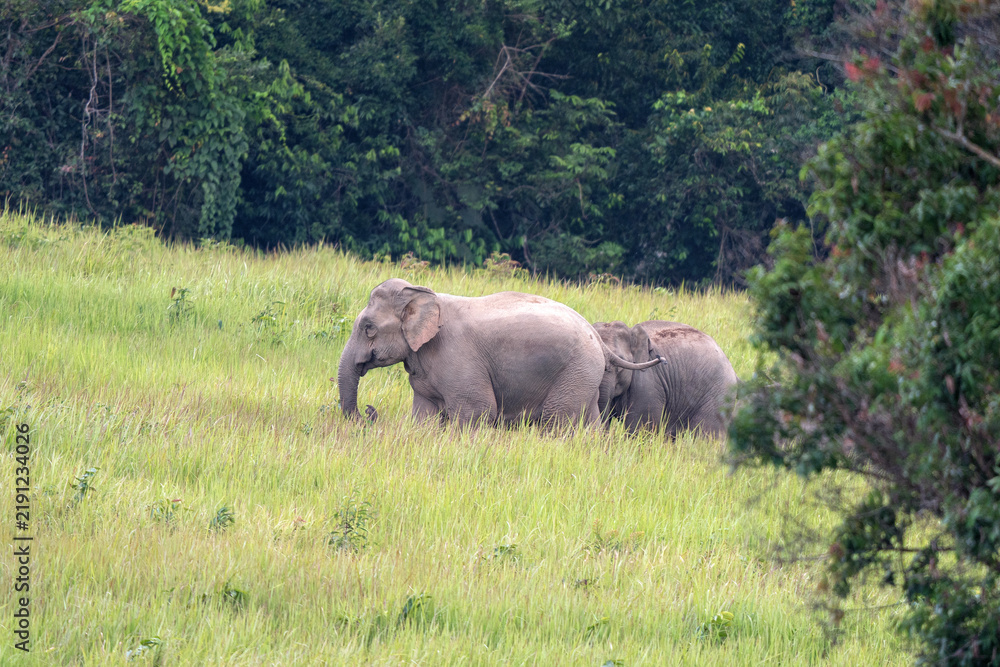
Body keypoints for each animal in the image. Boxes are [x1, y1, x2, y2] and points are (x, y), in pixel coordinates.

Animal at [337, 279, 662, 427]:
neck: (425, 293)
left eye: (368, 328)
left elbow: (477, 410)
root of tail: (597, 338)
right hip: (585, 377)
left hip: (575, 371)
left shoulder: (458, 357)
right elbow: (425, 415)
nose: (369, 412)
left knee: (560, 420)